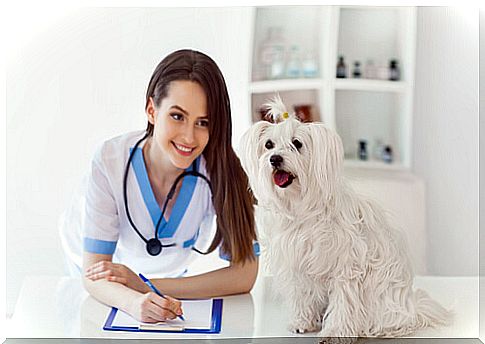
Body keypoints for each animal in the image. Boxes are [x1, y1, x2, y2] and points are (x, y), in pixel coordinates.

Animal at [238, 95, 450, 338]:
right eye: (269, 145)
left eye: (297, 144)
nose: (274, 159)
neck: (301, 208)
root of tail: (413, 308)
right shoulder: (297, 263)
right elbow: (303, 295)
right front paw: (303, 321)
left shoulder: (346, 265)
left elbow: (344, 301)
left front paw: (335, 331)